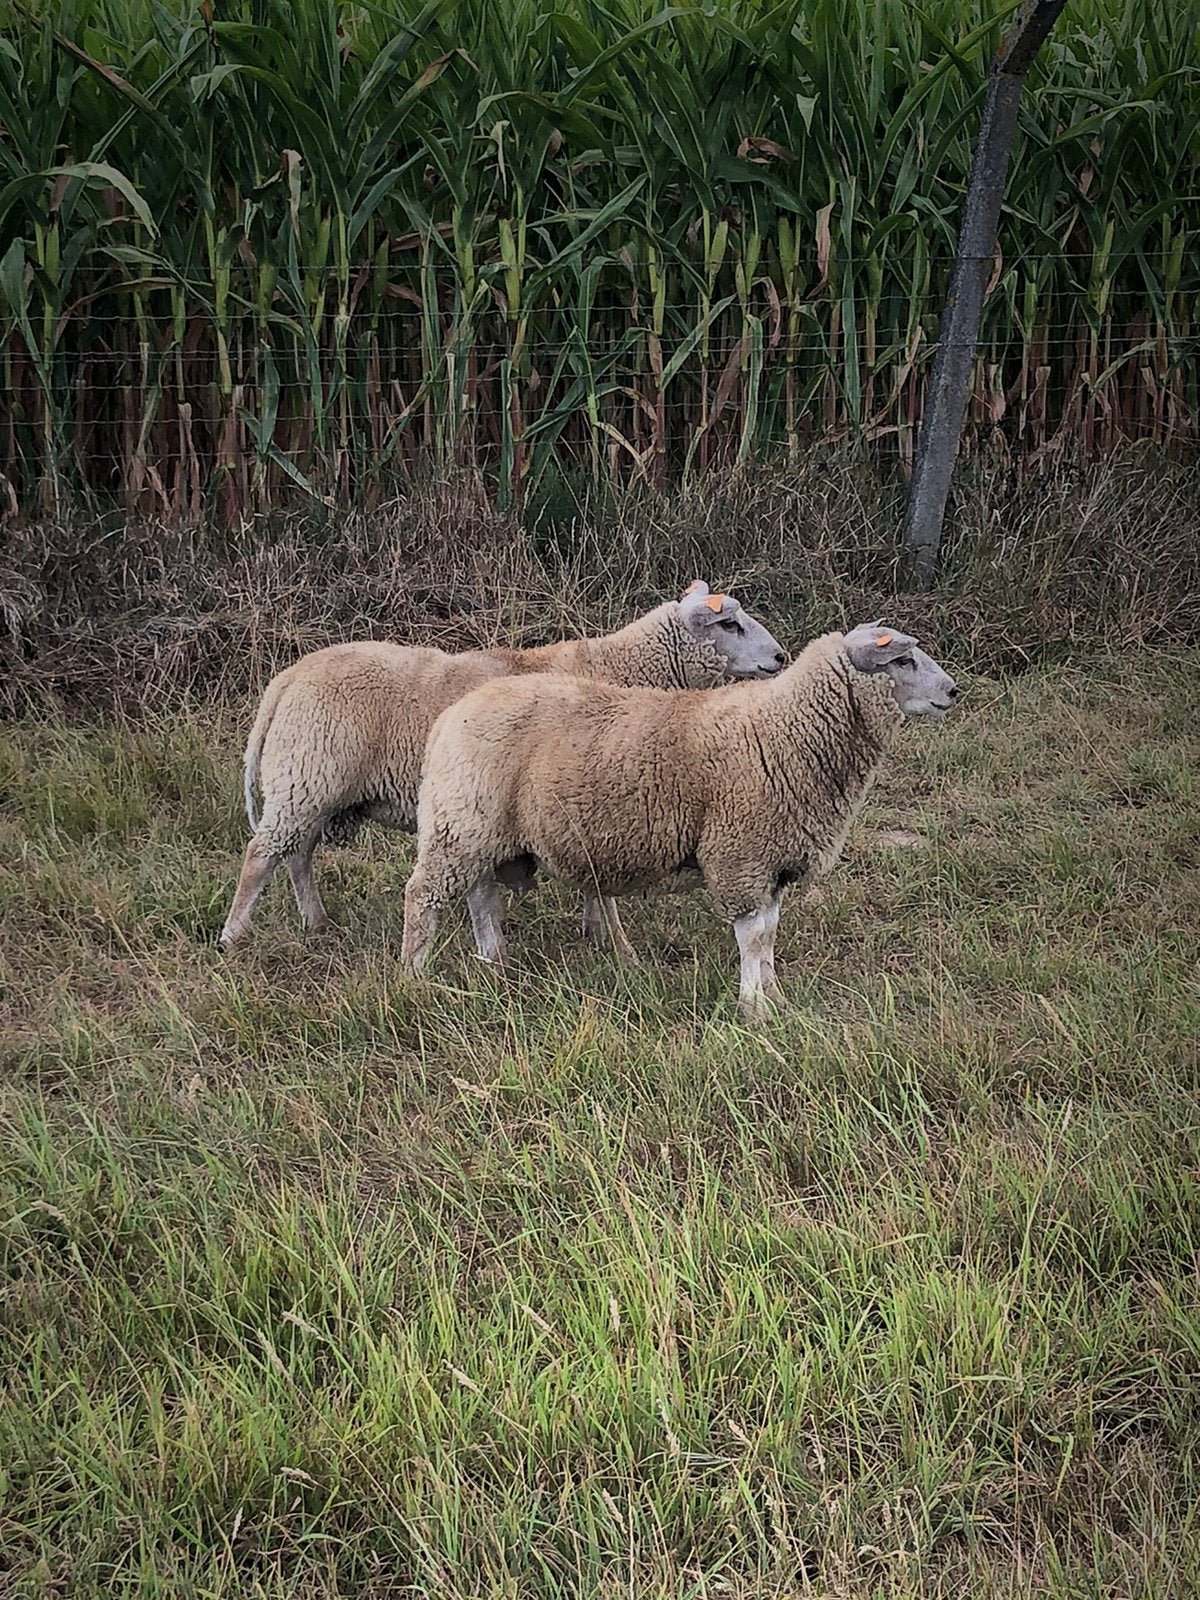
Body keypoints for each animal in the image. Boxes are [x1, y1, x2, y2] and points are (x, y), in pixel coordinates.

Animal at [219, 580, 787, 952]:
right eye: (729, 623)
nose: (782, 658)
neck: (621, 667)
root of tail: (287, 678)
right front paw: (613, 941)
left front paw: (593, 932)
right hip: (308, 777)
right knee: (261, 856)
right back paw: (233, 934)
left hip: (310, 785)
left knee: (297, 855)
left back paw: (316, 923)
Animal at [400, 623, 960, 1019]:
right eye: (903, 658)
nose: (955, 691)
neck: (785, 728)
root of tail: (450, 717)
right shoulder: (740, 854)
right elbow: (752, 936)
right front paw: (753, 1008)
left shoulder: (772, 861)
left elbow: (769, 934)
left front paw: (773, 995)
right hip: (461, 821)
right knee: (423, 897)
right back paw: (414, 974)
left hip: (478, 829)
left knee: (480, 896)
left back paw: (493, 960)